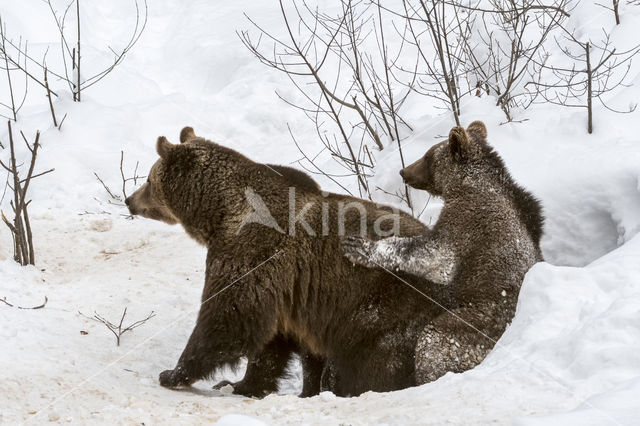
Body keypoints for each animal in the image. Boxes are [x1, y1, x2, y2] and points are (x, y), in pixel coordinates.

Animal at [124, 125, 442, 396]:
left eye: (148, 179)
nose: (129, 199)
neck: (221, 212)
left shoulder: (252, 253)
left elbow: (227, 316)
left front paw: (174, 373)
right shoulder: (288, 290)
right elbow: (272, 342)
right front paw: (244, 384)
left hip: (383, 306)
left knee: (374, 359)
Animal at [342, 121, 544, 384]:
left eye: (428, 156)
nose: (404, 171)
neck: (464, 186)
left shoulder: (466, 224)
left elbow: (433, 255)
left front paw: (360, 246)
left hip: (475, 323)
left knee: (434, 339)